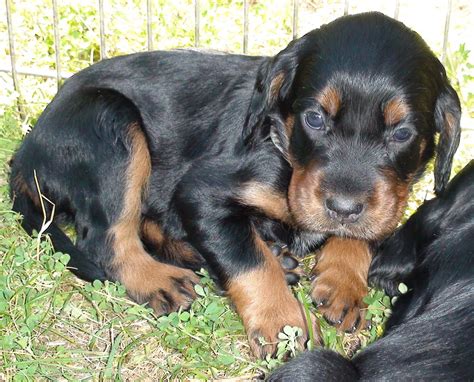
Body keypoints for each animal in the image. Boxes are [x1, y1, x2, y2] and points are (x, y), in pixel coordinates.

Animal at [9, 12, 462, 358]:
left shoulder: (391, 199)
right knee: (108, 237)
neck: (284, 148)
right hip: (111, 122)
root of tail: (25, 151)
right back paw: (161, 279)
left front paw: (343, 283)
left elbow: (369, 228)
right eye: (315, 118)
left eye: (401, 133)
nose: (344, 206)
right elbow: (248, 261)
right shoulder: (202, 191)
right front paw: (283, 324)